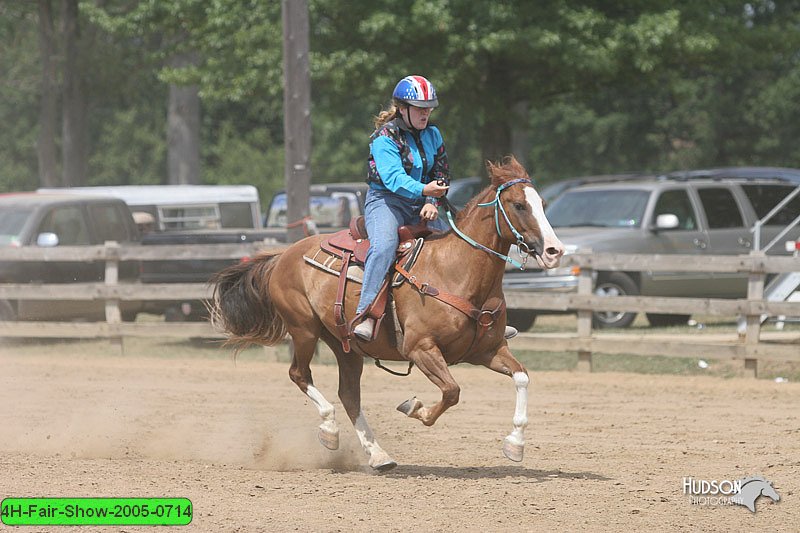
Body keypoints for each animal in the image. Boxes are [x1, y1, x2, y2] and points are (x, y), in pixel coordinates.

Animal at [211, 157, 564, 470]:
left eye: (543, 203)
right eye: (519, 205)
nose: (554, 251)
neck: (456, 270)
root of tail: (284, 254)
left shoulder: (487, 350)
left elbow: (522, 376)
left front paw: (515, 444)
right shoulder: (421, 348)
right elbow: (452, 392)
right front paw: (415, 408)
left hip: (345, 344)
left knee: (349, 394)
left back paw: (378, 455)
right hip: (304, 330)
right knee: (299, 374)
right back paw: (330, 430)